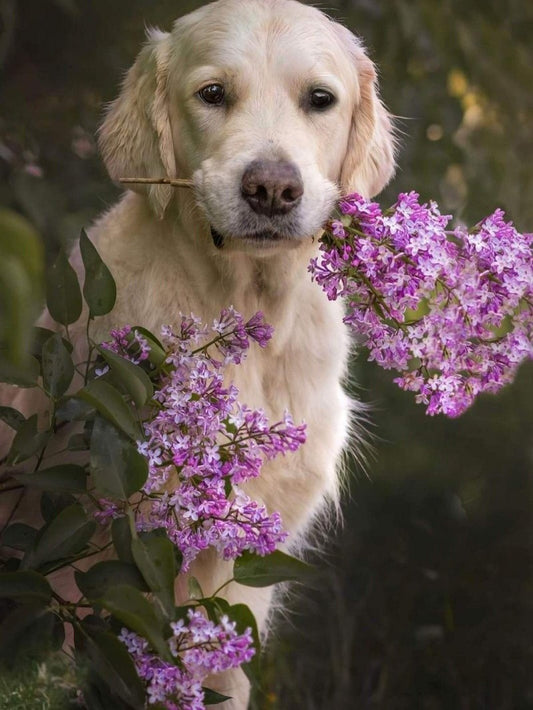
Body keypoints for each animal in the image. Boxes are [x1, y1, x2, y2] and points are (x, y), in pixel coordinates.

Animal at [0, 0, 392, 708]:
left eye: (320, 99)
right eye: (213, 94)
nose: (271, 189)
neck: (249, 309)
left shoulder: (243, 571)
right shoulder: (96, 541)